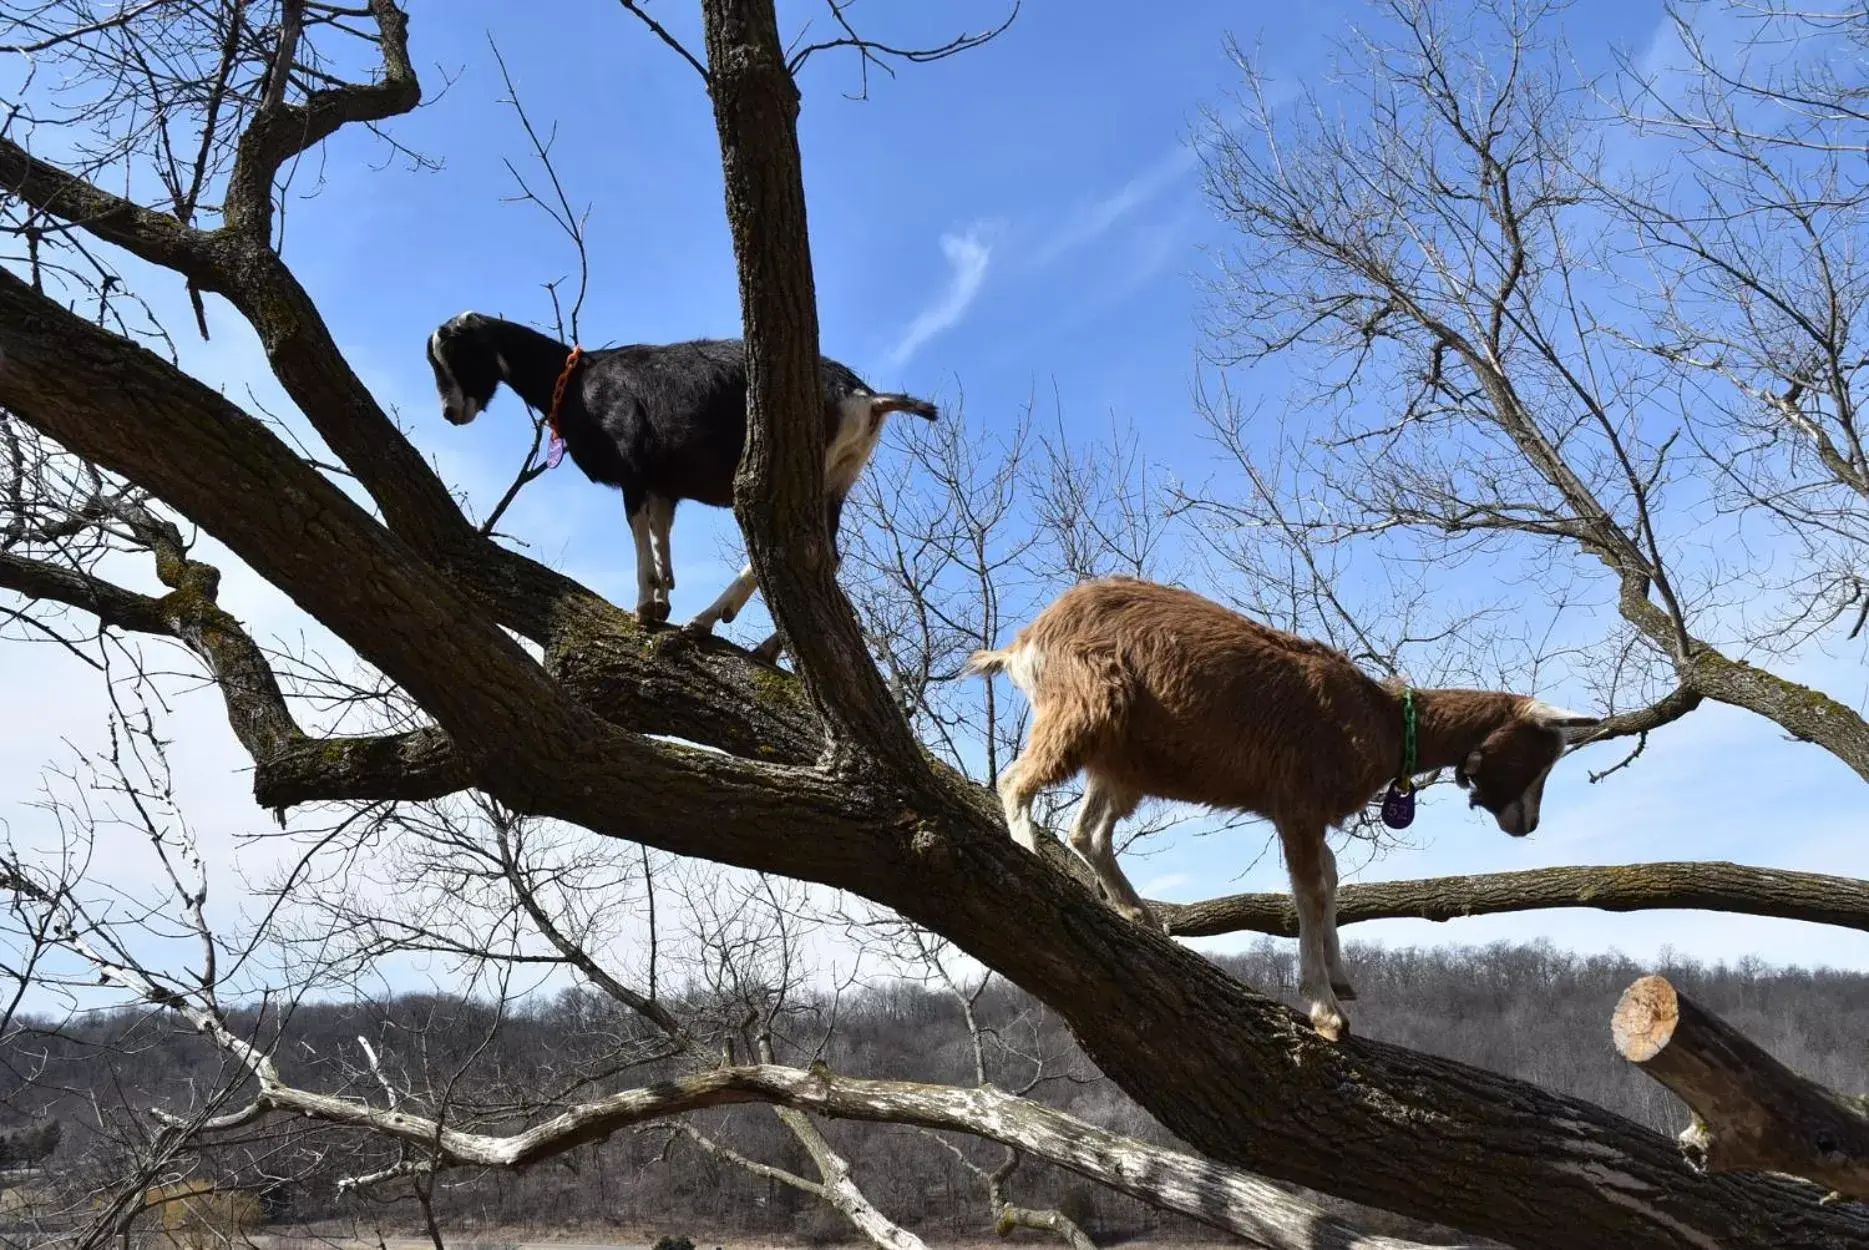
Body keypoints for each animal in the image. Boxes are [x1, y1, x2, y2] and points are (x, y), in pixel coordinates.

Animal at [429, 310, 941, 653]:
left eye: (456, 352)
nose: (450, 414)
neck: (577, 383)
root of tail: (867, 398)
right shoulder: (662, 483)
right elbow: (661, 532)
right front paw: (662, 597)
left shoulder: (633, 466)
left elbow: (637, 529)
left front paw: (643, 606)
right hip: (837, 478)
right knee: (825, 555)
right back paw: (765, 645)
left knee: (786, 547)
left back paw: (709, 619)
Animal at [971, 575, 1599, 1031]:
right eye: (1544, 754)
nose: (1527, 824)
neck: (1381, 720)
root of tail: (1025, 640)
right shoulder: (1296, 803)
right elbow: (1309, 891)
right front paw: (1325, 1011)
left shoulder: (1312, 814)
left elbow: (1332, 879)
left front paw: (1340, 979)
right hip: (1083, 704)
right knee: (1016, 783)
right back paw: (1032, 860)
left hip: (1124, 761)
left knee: (1088, 831)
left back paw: (1134, 912)